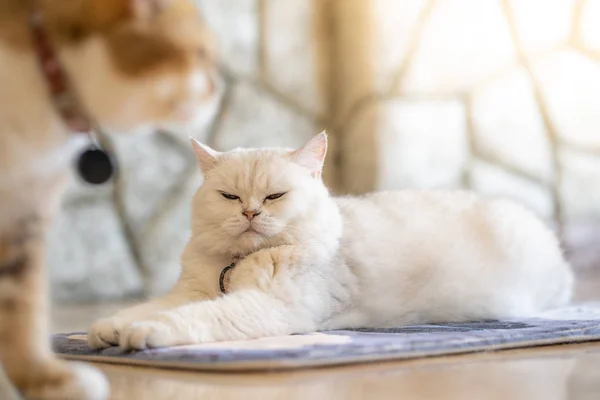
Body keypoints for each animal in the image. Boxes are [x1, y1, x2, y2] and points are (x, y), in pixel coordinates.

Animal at [88, 132, 572, 350]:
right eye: (229, 197)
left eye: (274, 196)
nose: (250, 213)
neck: (236, 263)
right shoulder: (189, 291)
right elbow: (151, 307)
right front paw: (108, 328)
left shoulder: (269, 307)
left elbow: (190, 318)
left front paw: (140, 334)